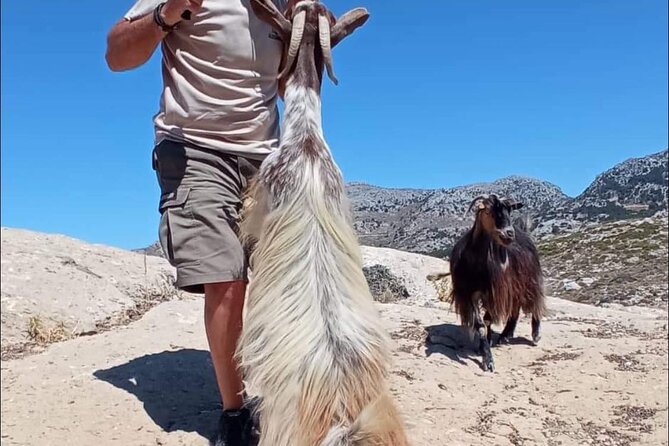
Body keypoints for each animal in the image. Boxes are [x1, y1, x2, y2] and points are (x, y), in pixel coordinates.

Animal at [448, 193, 544, 372]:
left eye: (509, 211)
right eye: (488, 211)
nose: (509, 233)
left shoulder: (494, 292)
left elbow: (487, 320)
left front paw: (488, 355)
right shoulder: (470, 294)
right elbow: (480, 324)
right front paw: (485, 351)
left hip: (530, 278)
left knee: (535, 301)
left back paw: (535, 335)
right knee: (515, 307)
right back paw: (506, 335)